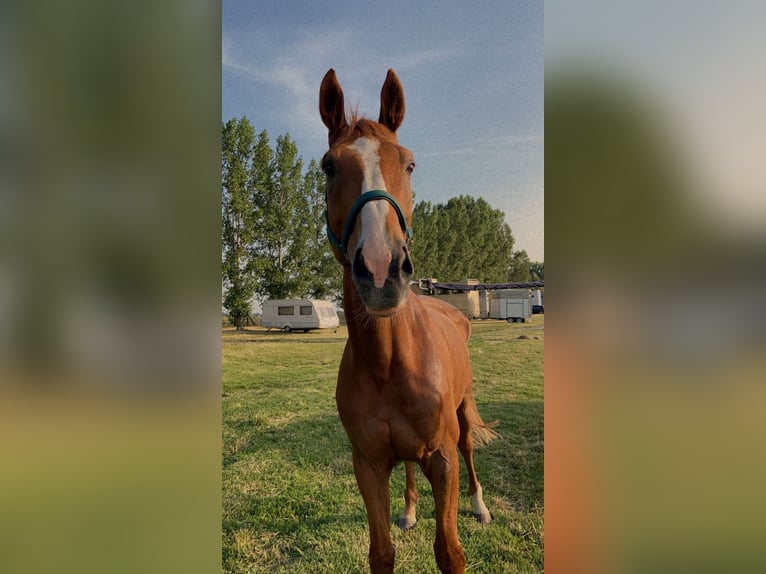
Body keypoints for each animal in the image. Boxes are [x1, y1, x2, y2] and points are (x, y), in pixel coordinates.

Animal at [316, 68, 498, 574]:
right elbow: (381, 553)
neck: (389, 363)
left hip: (463, 413)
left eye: (410, 164)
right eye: (328, 166)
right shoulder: (368, 465)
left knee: (470, 449)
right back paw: (411, 510)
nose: (381, 269)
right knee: (410, 468)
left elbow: (450, 552)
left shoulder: (443, 458)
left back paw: (480, 506)